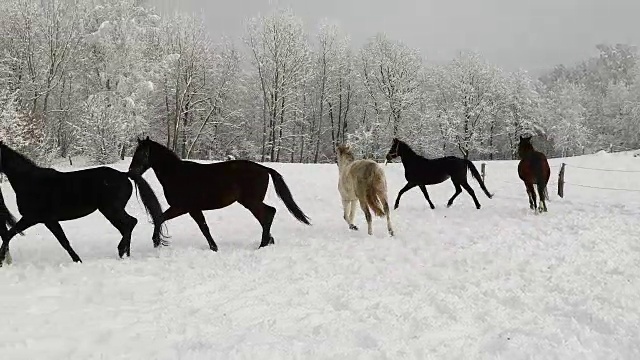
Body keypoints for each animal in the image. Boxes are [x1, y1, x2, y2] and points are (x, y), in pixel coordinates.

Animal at [0, 142, 164, 266]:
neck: (29, 181)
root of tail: (125, 175)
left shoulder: (38, 218)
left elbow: (63, 241)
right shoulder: (40, 220)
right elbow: (9, 235)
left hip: (111, 210)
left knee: (130, 223)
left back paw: (121, 251)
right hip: (111, 211)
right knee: (127, 226)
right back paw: (125, 254)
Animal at [129, 136, 312, 252]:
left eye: (142, 154)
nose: (131, 172)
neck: (177, 174)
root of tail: (264, 168)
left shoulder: (186, 207)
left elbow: (201, 227)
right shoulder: (186, 208)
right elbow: (163, 218)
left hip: (251, 201)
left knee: (269, 213)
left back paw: (263, 244)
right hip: (250, 202)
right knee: (266, 215)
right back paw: (268, 241)